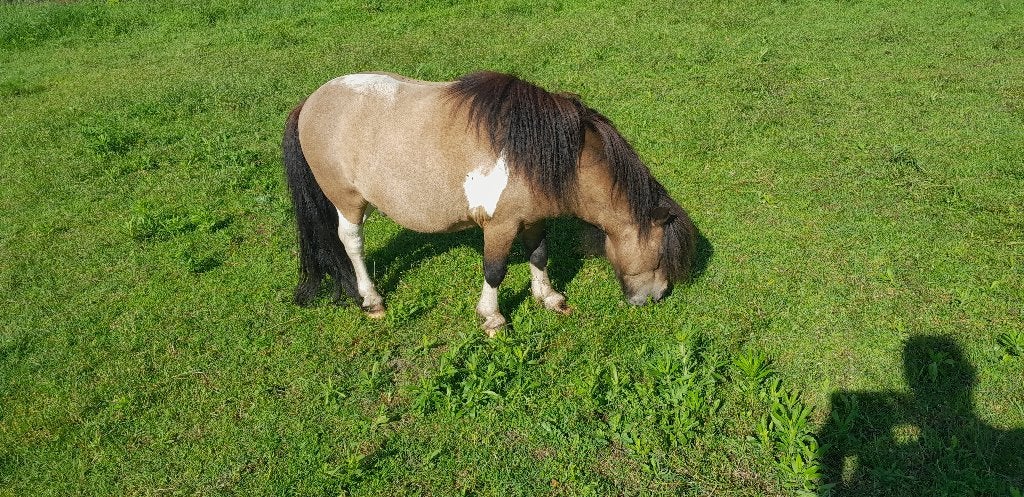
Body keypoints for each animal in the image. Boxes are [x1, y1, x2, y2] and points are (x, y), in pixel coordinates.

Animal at [282, 71, 696, 336]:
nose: (655, 298)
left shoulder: (533, 220)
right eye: (660, 256)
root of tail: (309, 102)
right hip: (347, 200)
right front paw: (492, 319)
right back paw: (372, 300)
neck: (540, 152)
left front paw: (549, 297)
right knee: (351, 242)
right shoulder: (500, 226)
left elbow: (539, 254)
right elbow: (495, 271)